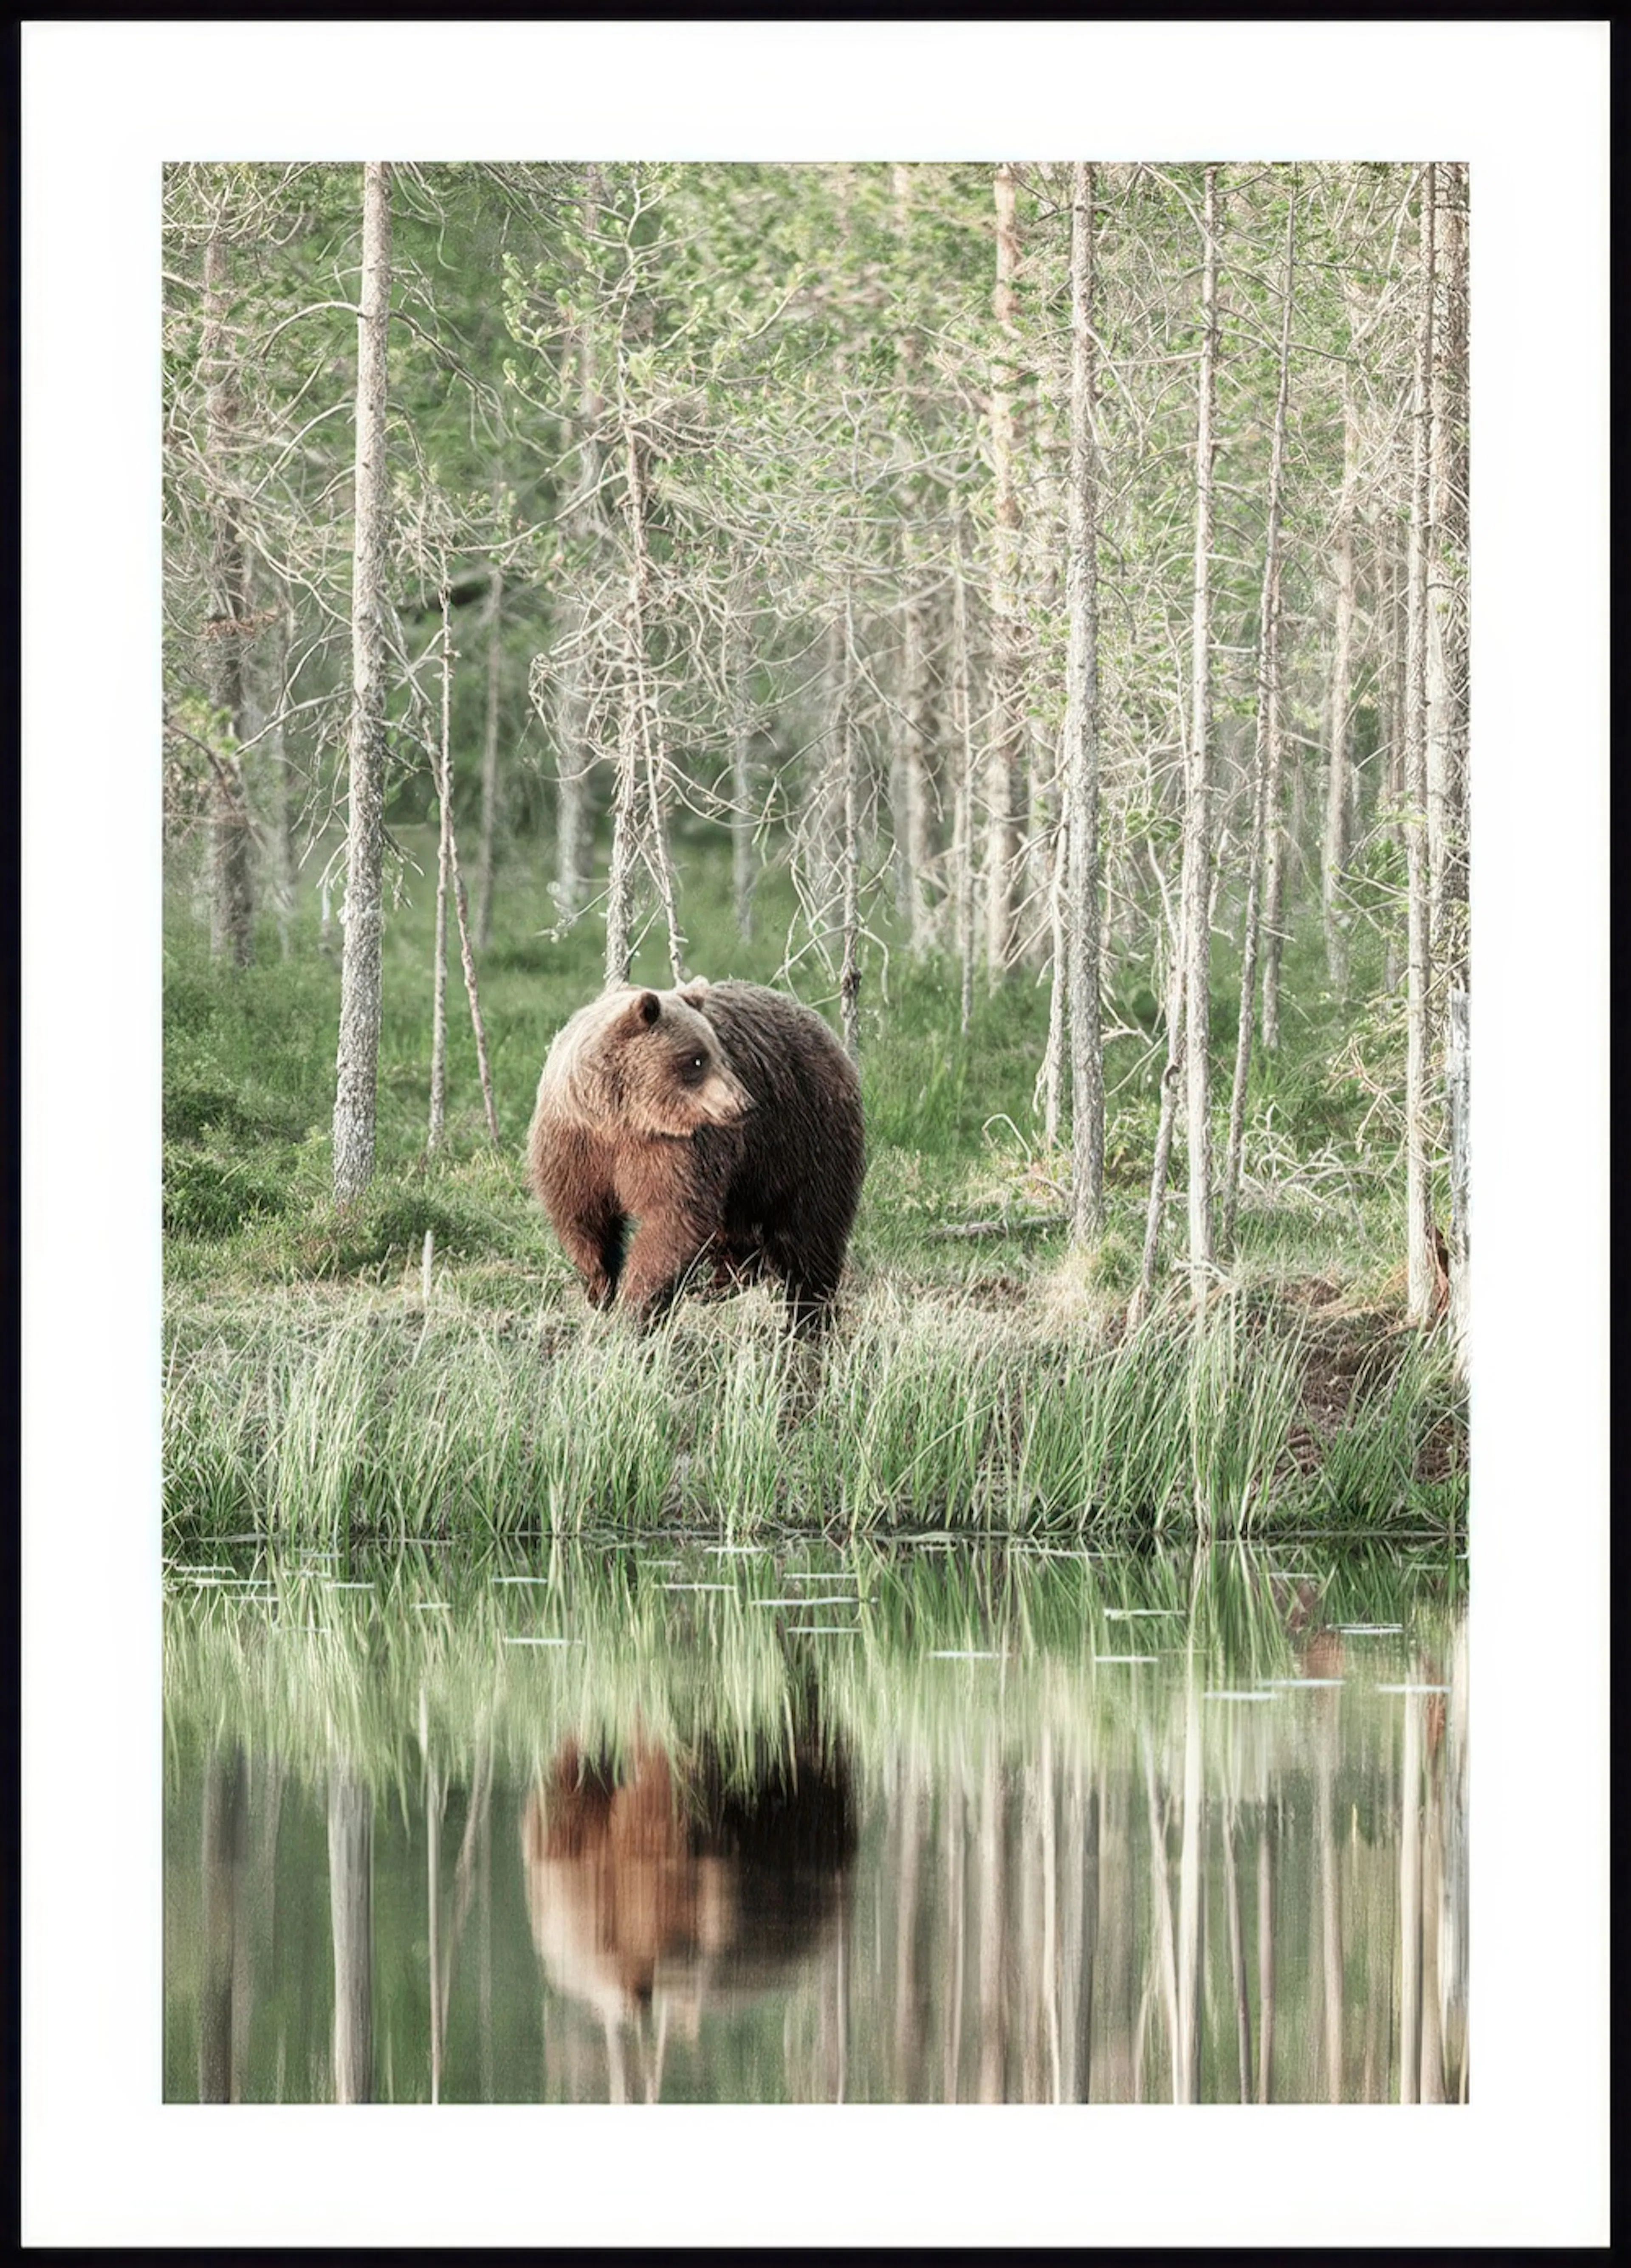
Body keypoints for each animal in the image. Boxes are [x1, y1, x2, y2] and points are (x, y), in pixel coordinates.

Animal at [527, 977, 865, 1334]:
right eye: (696, 1060)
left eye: (721, 1056)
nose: (745, 1103)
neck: (620, 1120)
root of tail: (824, 1028)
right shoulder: (575, 1143)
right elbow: (580, 1213)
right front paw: (601, 1288)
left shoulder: (676, 1151)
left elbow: (672, 1218)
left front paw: (638, 1304)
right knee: (740, 1232)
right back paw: (722, 1284)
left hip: (803, 1139)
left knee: (810, 1231)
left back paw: (808, 1315)